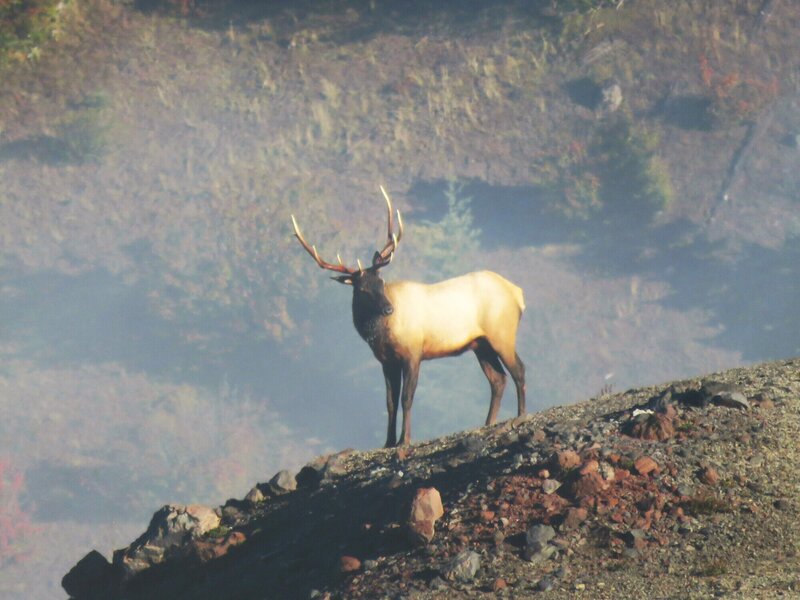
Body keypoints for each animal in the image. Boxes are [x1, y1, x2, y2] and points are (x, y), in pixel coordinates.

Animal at [290, 188, 528, 446]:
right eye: (362, 289)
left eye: (381, 282)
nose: (388, 309)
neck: (380, 335)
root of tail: (517, 293)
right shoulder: (386, 361)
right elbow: (390, 402)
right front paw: (388, 442)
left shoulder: (413, 352)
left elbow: (407, 397)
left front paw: (405, 440)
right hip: (480, 344)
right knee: (498, 379)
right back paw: (488, 423)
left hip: (501, 333)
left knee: (518, 369)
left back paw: (520, 416)